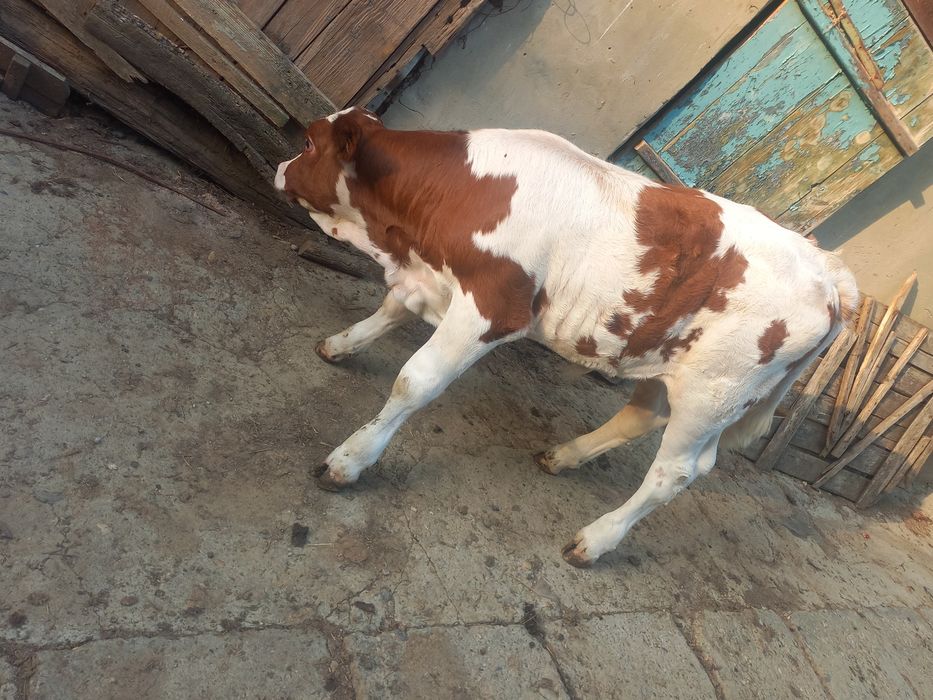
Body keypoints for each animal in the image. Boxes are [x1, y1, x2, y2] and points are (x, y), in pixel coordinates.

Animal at [275, 106, 858, 567]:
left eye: (308, 143)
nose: (280, 168)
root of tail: (828, 271)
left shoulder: (493, 307)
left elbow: (414, 382)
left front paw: (349, 460)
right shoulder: (432, 276)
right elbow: (390, 309)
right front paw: (340, 345)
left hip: (714, 393)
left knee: (676, 472)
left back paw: (594, 541)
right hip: (665, 359)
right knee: (638, 416)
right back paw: (565, 456)